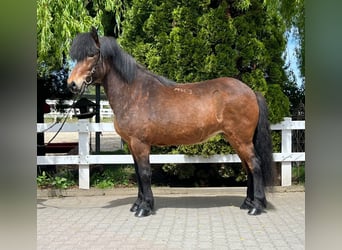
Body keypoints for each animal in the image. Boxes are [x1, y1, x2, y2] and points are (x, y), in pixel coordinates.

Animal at [68, 27, 274, 217]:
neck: (134, 93)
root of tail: (251, 91)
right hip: (236, 140)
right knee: (248, 167)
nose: (72, 84)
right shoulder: (132, 145)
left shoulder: (141, 144)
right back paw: (247, 203)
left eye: (92, 54)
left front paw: (144, 208)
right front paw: (137, 204)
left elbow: (145, 173)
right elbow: (138, 173)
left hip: (242, 139)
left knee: (255, 165)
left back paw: (256, 206)